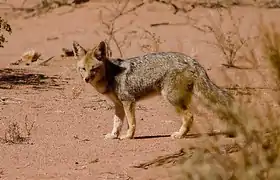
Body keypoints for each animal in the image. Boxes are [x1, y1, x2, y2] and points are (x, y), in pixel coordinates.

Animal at [72, 40, 236, 139]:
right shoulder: (118, 104)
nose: (86, 79)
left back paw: (180, 135)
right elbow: (116, 123)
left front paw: (128, 136)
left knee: (189, 116)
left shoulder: (128, 101)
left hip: (171, 98)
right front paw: (113, 135)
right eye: (83, 69)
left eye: (94, 69)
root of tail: (192, 60)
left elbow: (131, 122)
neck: (111, 74)